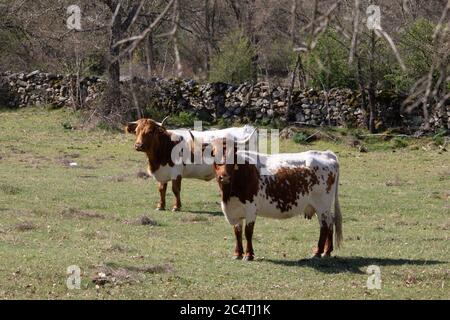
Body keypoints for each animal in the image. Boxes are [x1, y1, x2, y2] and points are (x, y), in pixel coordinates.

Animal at [125, 119, 255, 211]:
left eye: (150, 131)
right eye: (136, 132)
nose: (138, 145)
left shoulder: (176, 172)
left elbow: (175, 189)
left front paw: (176, 207)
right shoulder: (162, 172)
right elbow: (162, 189)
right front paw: (160, 206)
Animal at [202, 137, 342, 260]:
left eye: (234, 155)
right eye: (213, 154)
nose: (224, 177)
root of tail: (326, 153)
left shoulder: (251, 208)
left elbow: (248, 232)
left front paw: (249, 255)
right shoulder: (235, 210)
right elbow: (237, 232)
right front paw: (237, 254)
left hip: (322, 205)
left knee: (325, 226)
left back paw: (318, 252)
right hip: (321, 207)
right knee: (330, 222)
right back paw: (327, 251)